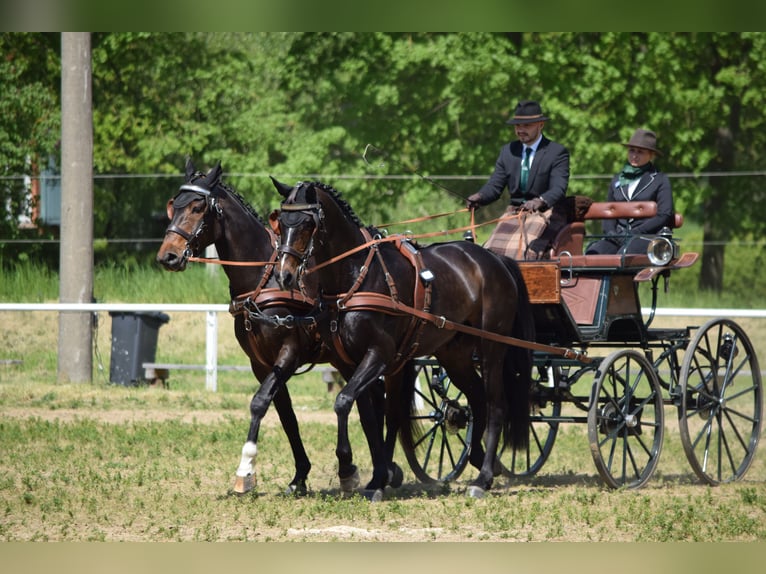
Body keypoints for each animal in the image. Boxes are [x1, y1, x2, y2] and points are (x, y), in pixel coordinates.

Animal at [154, 160, 400, 498]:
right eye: (173, 205)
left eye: (197, 207)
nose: (168, 256)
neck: (263, 276)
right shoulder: (261, 363)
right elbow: (286, 415)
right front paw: (300, 476)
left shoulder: (289, 353)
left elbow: (259, 403)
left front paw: (245, 470)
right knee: (368, 403)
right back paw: (381, 470)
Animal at [278, 180, 540, 500]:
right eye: (280, 222)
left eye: (307, 223)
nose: (285, 275)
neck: (357, 277)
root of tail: (495, 259)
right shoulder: (355, 362)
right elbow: (373, 416)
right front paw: (379, 477)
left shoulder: (380, 354)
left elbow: (344, 402)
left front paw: (349, 469)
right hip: (454, 355)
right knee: (477, 399)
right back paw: (479, 461)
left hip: (492, 346)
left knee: (495, 404)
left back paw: (484, 477)